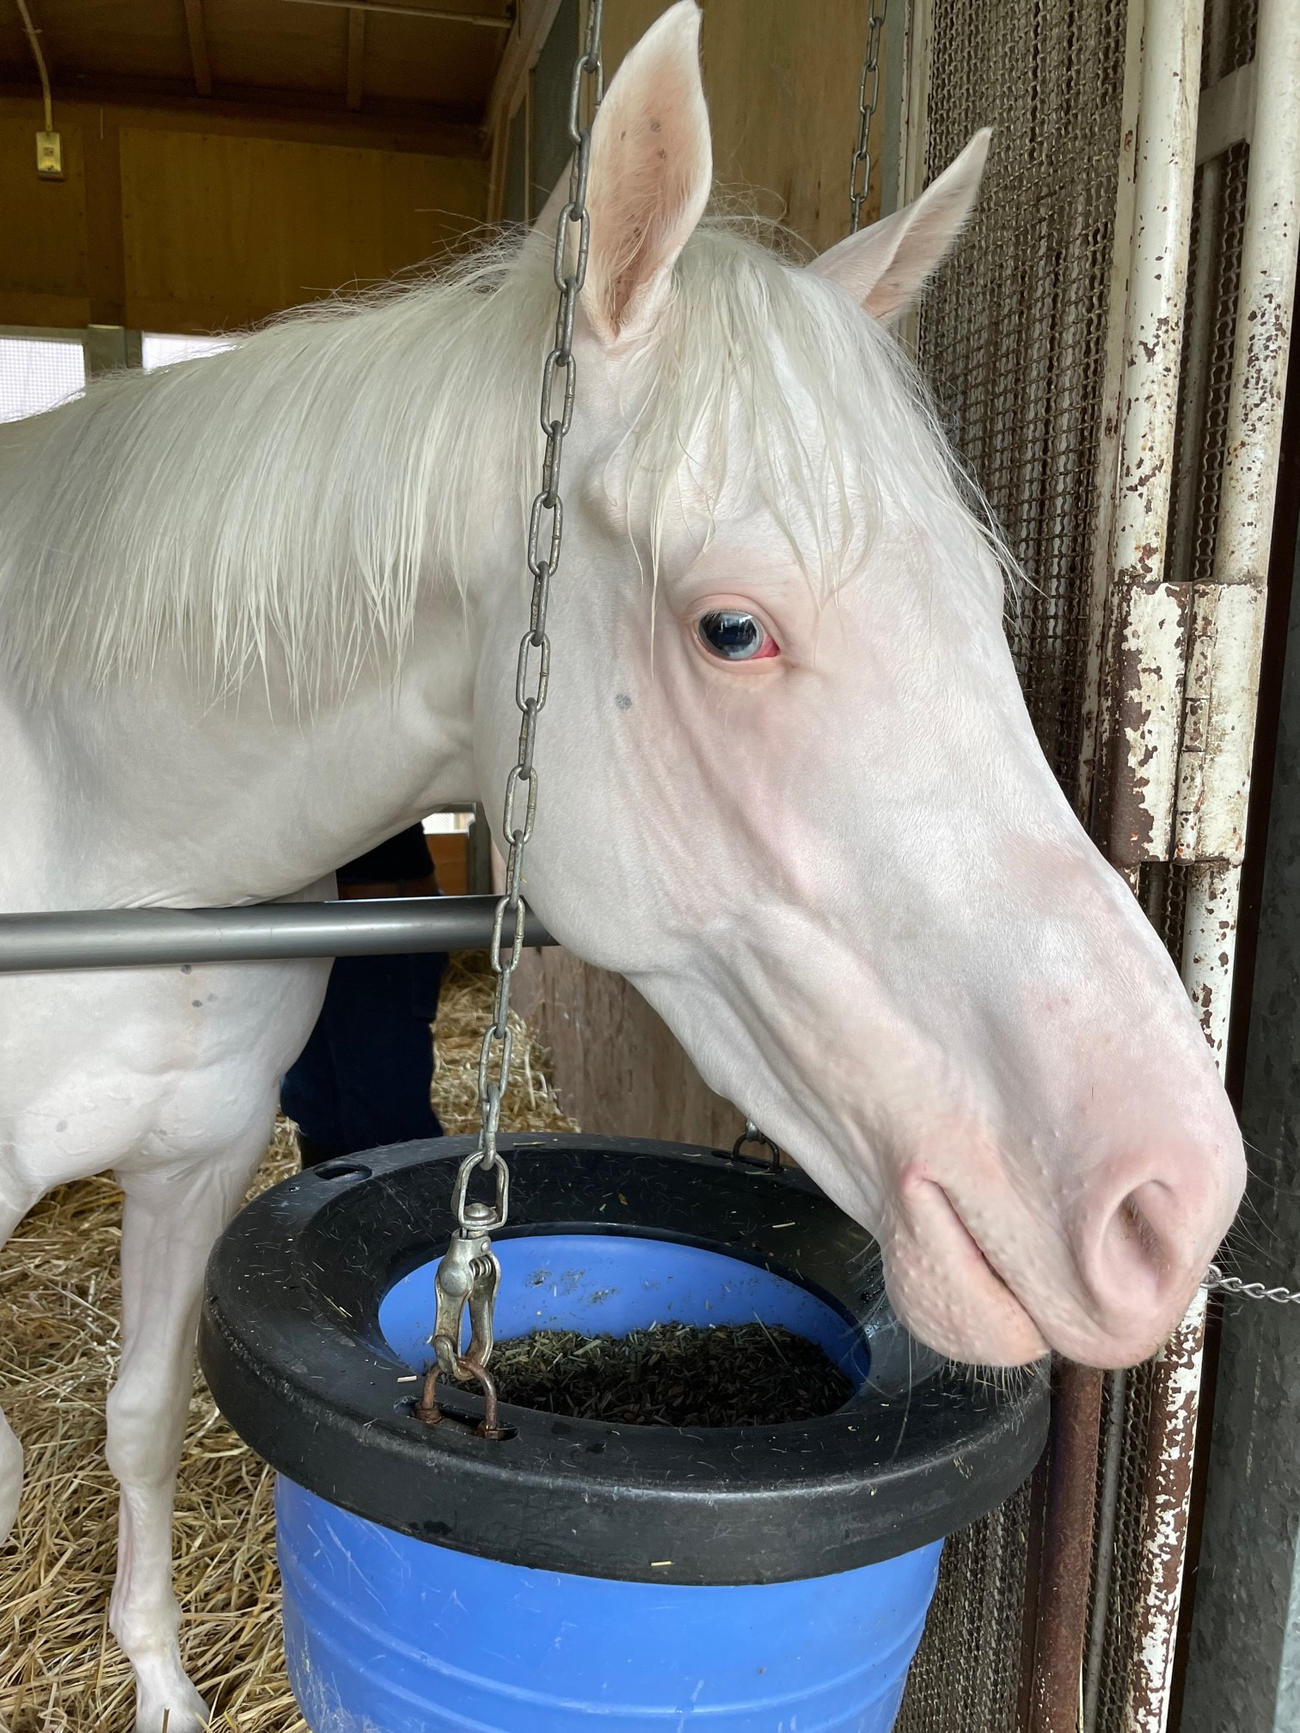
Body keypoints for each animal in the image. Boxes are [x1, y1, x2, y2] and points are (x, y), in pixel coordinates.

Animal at [0, 4, 1243, 1728]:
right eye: (734, 627)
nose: (1170, 1200)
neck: (105, 841)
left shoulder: (199, 1155)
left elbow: (133, 1414)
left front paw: (163, 1686)